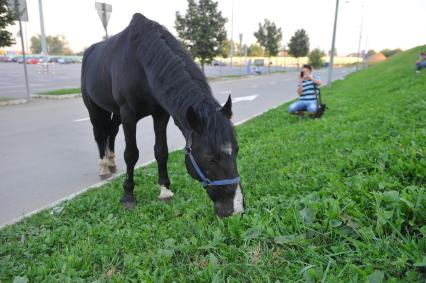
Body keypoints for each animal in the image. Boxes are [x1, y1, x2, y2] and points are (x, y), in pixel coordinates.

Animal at [81, 12, 245, 217]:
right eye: (210, 157)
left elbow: (161, 151)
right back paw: (104, 166)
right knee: (99, 134)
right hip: (94, 108)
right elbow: (131, 154)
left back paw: (111, 162)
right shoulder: (128, 115)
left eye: (236, 150)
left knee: (111, 131)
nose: (236, 208)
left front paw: (165, 190)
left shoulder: (160, 114)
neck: (142, 62)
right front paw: (128, 195)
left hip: (115, 112)